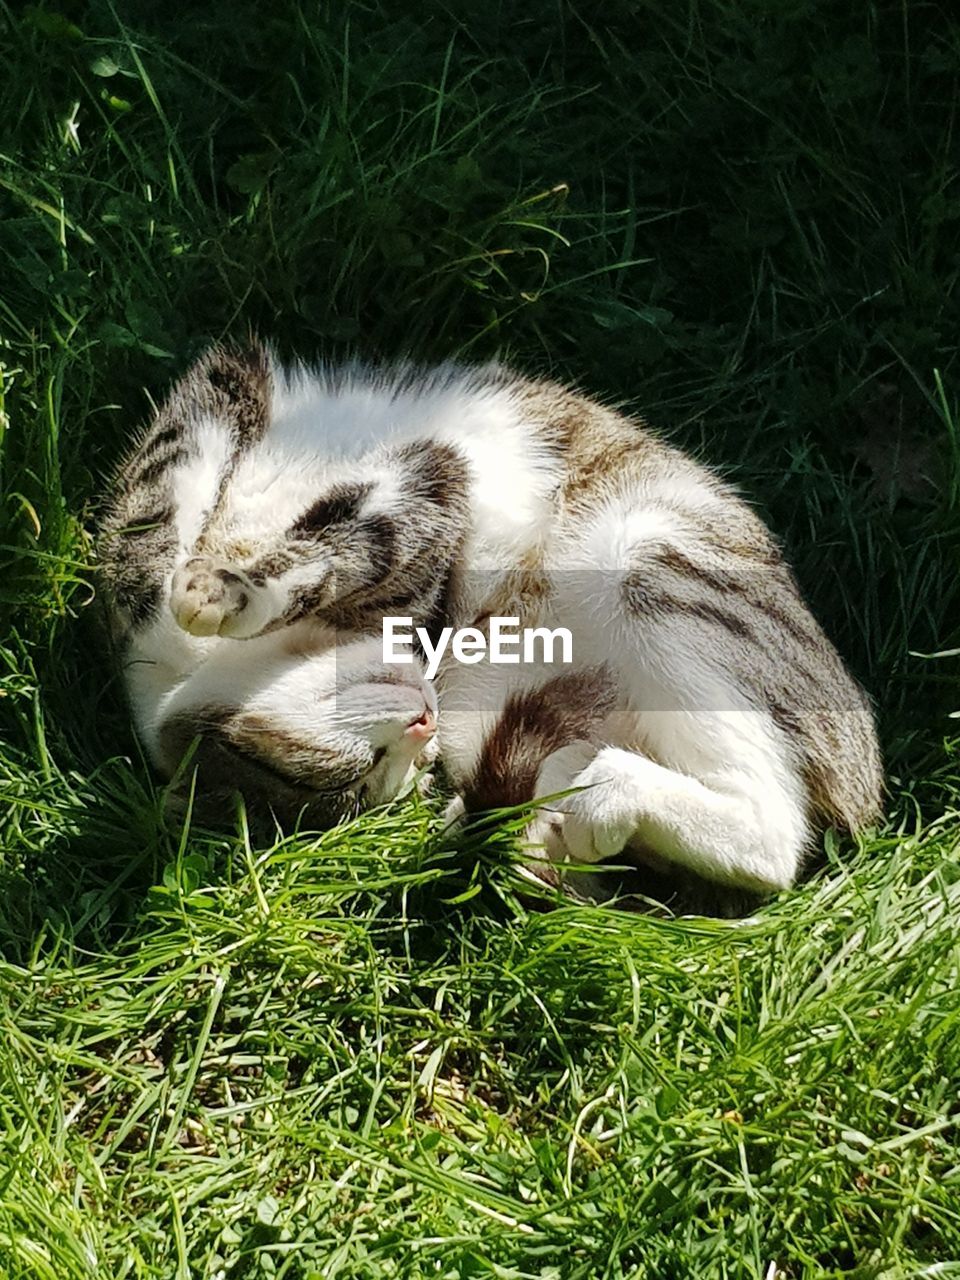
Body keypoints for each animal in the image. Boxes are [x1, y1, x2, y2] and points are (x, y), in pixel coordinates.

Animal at [99, 343, 885, 911]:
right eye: (377, 777)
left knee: (776, 837)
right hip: (503, 706)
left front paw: (222, 590)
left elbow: (323, 536)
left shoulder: (410, 470)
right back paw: (546, 832)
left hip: (650, 555)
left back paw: (613, 793)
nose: (422, 733)